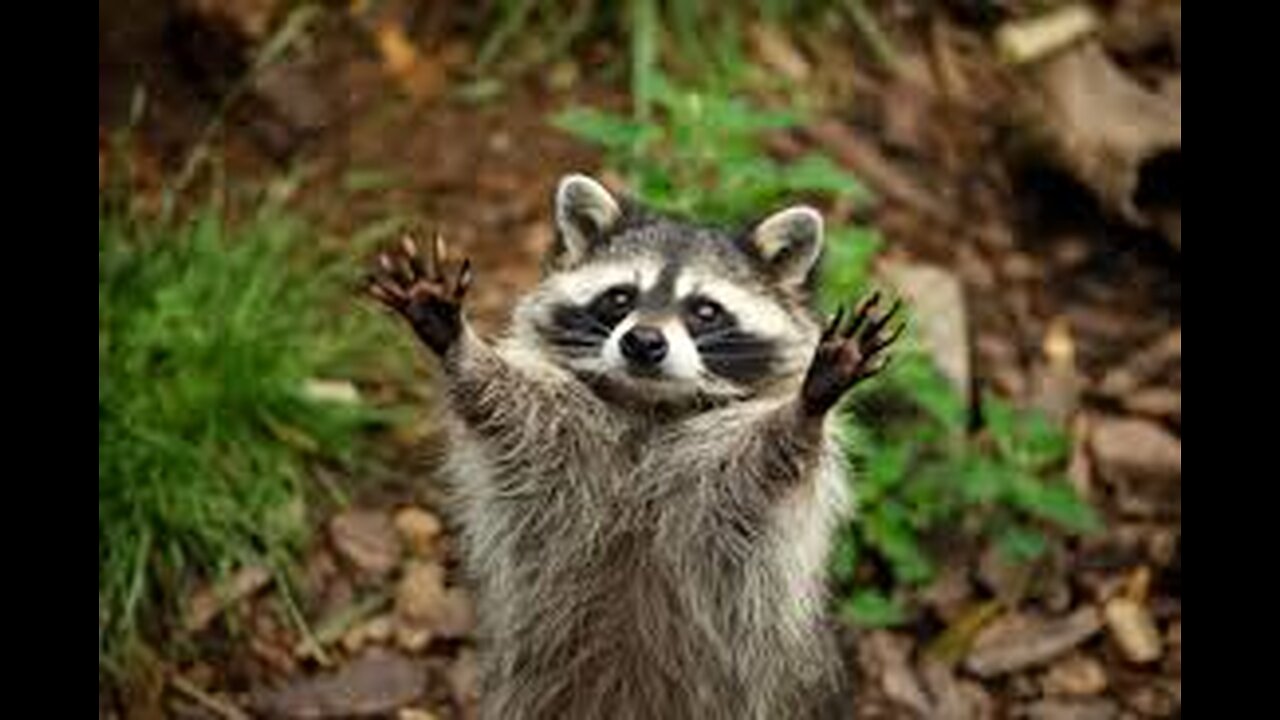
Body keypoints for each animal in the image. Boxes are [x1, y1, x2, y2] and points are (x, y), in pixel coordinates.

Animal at [368, 174, 901, 720]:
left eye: (705, 310)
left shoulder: (730, 482)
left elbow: (767, 461)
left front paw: (806, 408)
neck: (651, 407)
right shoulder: (561, 435)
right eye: (621, 297)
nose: (643, 342)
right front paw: (461, 348)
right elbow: (508, 410)